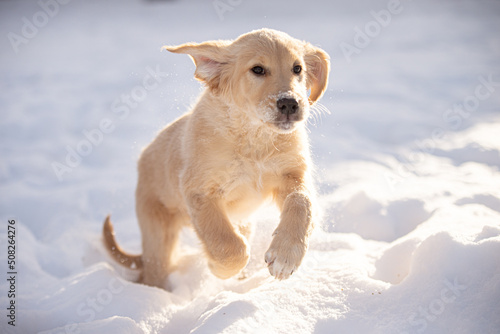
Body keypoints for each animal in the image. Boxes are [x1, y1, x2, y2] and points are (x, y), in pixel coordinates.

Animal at [102, 28, 330, 290]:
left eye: (297, 69)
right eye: (258, 70)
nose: (289, 103)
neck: (254, 139)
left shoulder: (292, 174)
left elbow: (301, 203)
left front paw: (286, 255)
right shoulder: (200, 191)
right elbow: (228, 244)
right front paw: (217, 268)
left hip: (242, 221)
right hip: (158, 233)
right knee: (153, 270)